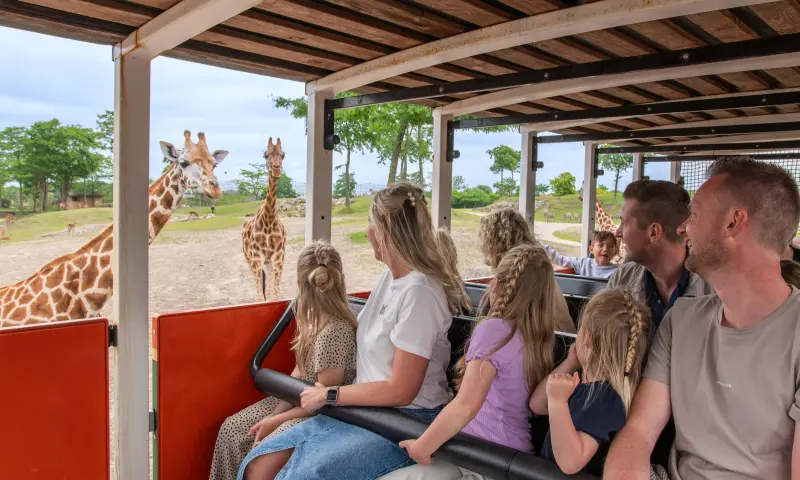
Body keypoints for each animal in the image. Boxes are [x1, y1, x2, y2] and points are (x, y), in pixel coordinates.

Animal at [242, 137, 286, 301]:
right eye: (265, 155)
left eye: (283, 155)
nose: (276, 169)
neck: (268, 219)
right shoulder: (256, 255)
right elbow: (261, 294)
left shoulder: (279, 255)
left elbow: (276, 294)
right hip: (249, 258)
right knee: (258, 281)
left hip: (267, 260)